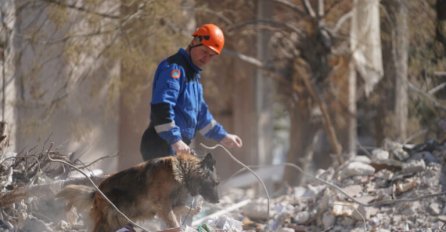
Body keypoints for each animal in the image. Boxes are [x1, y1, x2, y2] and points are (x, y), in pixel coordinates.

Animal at [56, 151, 220, 231]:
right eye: (215, 183)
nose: (218, 201)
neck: (183, 172)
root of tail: (96, 192)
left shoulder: (170, 206)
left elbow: (183, 209)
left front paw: (195, 210)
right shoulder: (164, 207)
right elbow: (174, 222)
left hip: (120, 220)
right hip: (110, 218)